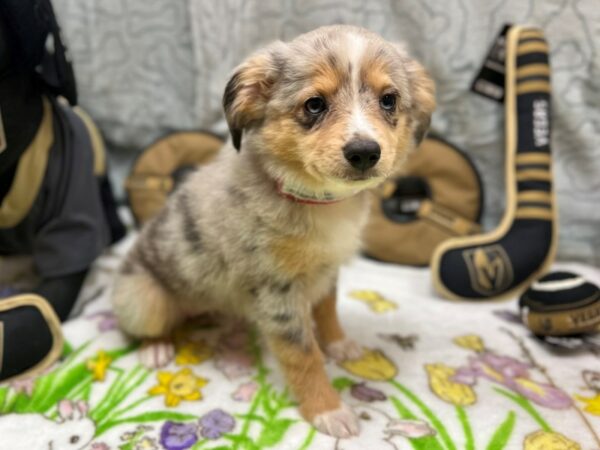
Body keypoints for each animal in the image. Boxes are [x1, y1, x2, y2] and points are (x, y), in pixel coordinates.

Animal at [111, 23, 432, 436]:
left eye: (389, 100)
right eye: (314, 104)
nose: (364, 152)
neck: (318, 202)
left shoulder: (327, 271)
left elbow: (327, 310)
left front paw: (339, 344)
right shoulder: (278, 295)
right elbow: (303, 357)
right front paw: (327, 410)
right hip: (144, 299)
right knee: (143, 326)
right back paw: (156, 348)